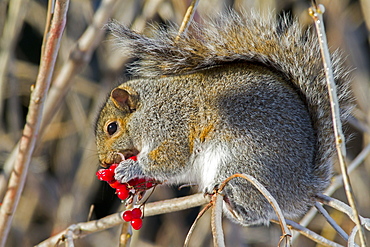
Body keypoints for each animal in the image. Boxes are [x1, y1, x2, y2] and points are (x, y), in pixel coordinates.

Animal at [94, 10, 350, 226]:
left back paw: (233, 204)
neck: (149, 109)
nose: (105, 163)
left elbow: (169, 161)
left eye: (111, 128)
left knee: (254, 208)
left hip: (242, 163)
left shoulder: (172, 128)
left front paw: (129, 168)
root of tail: (301, 188)